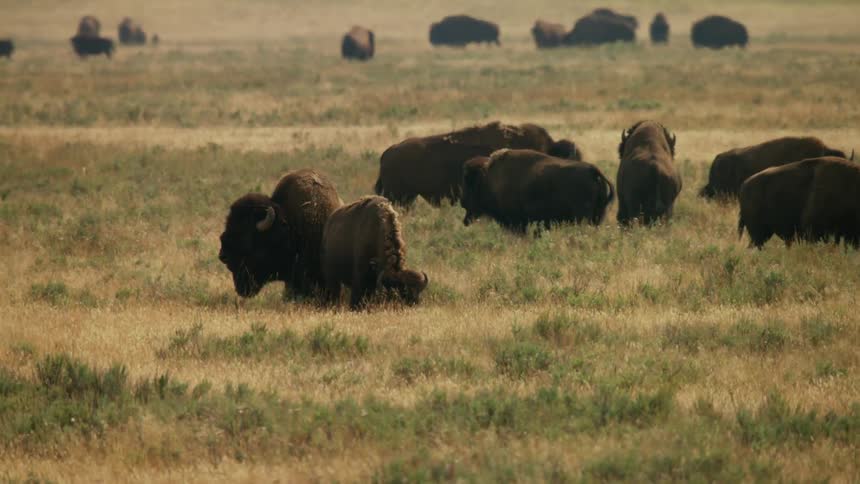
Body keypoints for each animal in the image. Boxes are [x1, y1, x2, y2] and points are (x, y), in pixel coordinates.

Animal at [461, 149, 615, 233]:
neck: (488, 177)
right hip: (596, 217)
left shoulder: (516, 222)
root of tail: (592, 170)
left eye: (469, 182)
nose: (462, 202)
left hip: (583, 217)